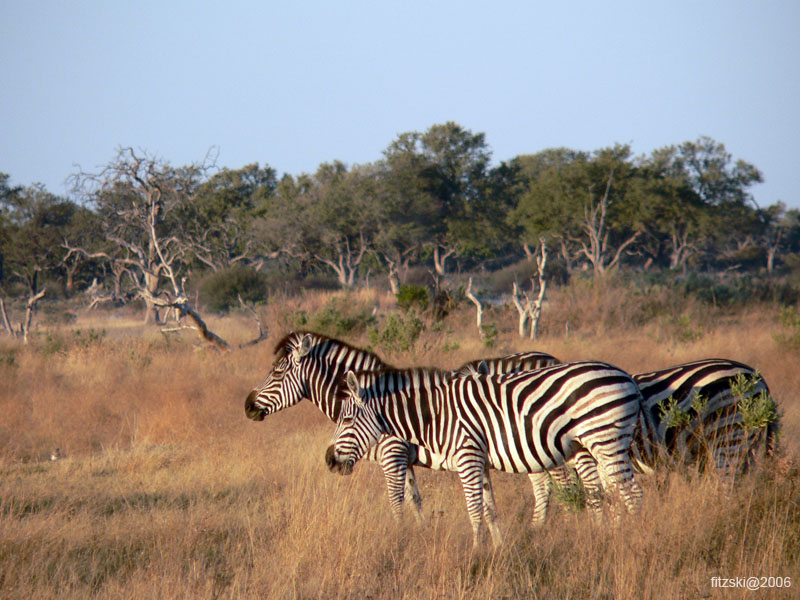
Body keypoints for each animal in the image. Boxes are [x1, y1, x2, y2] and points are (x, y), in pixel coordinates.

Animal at [241, 332, 560, 520]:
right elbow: (414, 501)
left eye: (277, 372)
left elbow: (396, 503)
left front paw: (399, 538)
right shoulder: (403, 460)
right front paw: (419, 535)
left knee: (552, 484)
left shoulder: (392, 455)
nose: (248, 406)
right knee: (544, 486)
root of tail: (550, 357)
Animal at [324, 360, 644, 548]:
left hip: (607, 439)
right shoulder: (480, 462)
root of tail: (626, 376)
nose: (329, 460)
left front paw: (476, 553)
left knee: (632, 494)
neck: (437, 416)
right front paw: (498, 550)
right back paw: (608, 536)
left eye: (347, 419)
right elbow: (490, 509)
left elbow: (474, 510)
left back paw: (633, 540)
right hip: (594, 445)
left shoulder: (467, 456)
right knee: (609, 491)